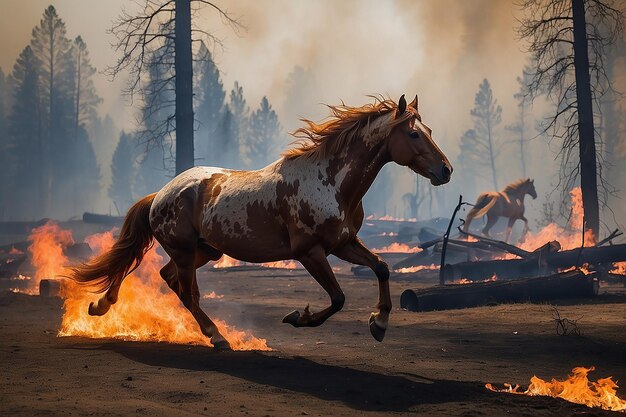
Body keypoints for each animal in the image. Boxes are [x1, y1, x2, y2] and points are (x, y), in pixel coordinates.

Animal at [67, 93, 448, 348]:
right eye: (414, 134)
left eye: (430, 129)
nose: (446, 171)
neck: (331, 181)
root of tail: (160, 194)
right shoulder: (310, 253)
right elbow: (338, 298)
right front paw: (297, 317)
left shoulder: (343, 243)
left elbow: (381, 267)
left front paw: (379, 323)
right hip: (185, 251)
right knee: (184, 290)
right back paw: (217, 337)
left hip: (206, 251)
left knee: (162, 276)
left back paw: (101, 305)